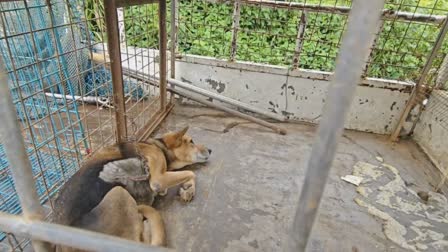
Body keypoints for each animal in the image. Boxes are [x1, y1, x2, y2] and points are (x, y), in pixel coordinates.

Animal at [53, 127, 212, 249]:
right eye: (191, 142)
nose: (211, 150)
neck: (159, 146)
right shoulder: (158, 179)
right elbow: (190, 172)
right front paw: (189, 189)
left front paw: (186, 187)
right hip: (118, 193)